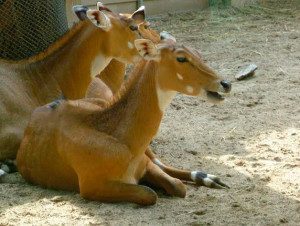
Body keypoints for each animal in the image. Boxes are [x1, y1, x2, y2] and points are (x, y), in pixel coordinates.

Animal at [17, 36, 232, 205]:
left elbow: (177, 185)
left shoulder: (145, 164)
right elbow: (150, 194)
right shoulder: (90, 186)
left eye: (197, 53)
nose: (225, 83)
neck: (124, 143)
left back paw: (211, 178)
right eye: (181, 58)